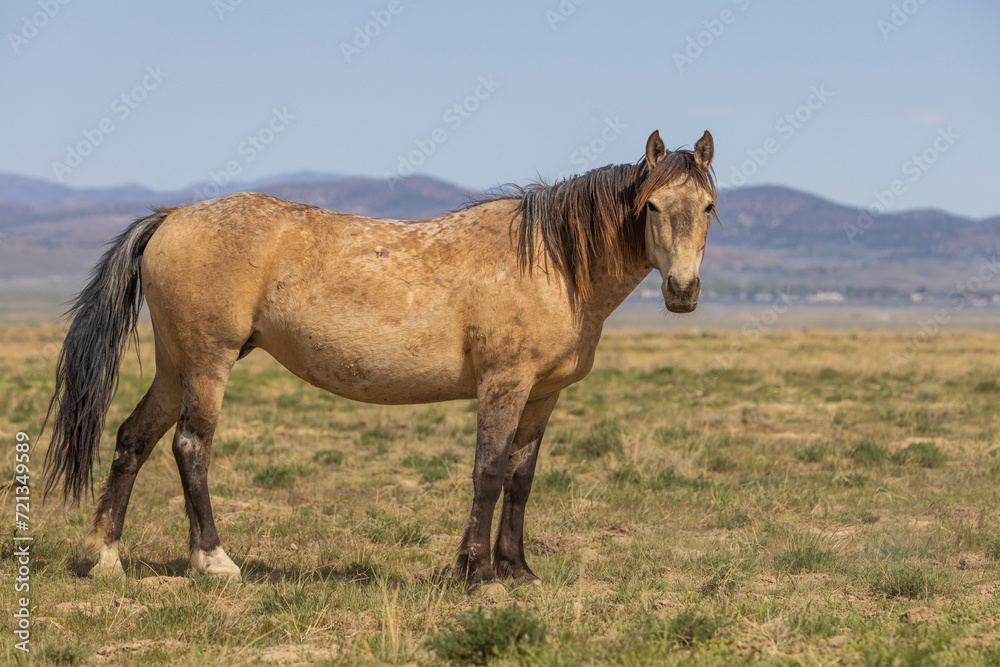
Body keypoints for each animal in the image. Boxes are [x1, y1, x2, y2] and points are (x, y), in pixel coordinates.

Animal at [43, 129, 718, 591]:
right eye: (652, 207)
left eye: (709, 207)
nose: (683, 291)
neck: (550, 262)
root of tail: (173, 217)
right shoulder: (503, 386)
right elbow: (488, 472)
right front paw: (477, 574)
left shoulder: (543, 394)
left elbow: (521, 479)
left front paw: (517, 569)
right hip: (208, 364)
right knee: (191, 447)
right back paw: (214, 561)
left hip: (175, 364)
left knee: (134, 439)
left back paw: (105, 556)